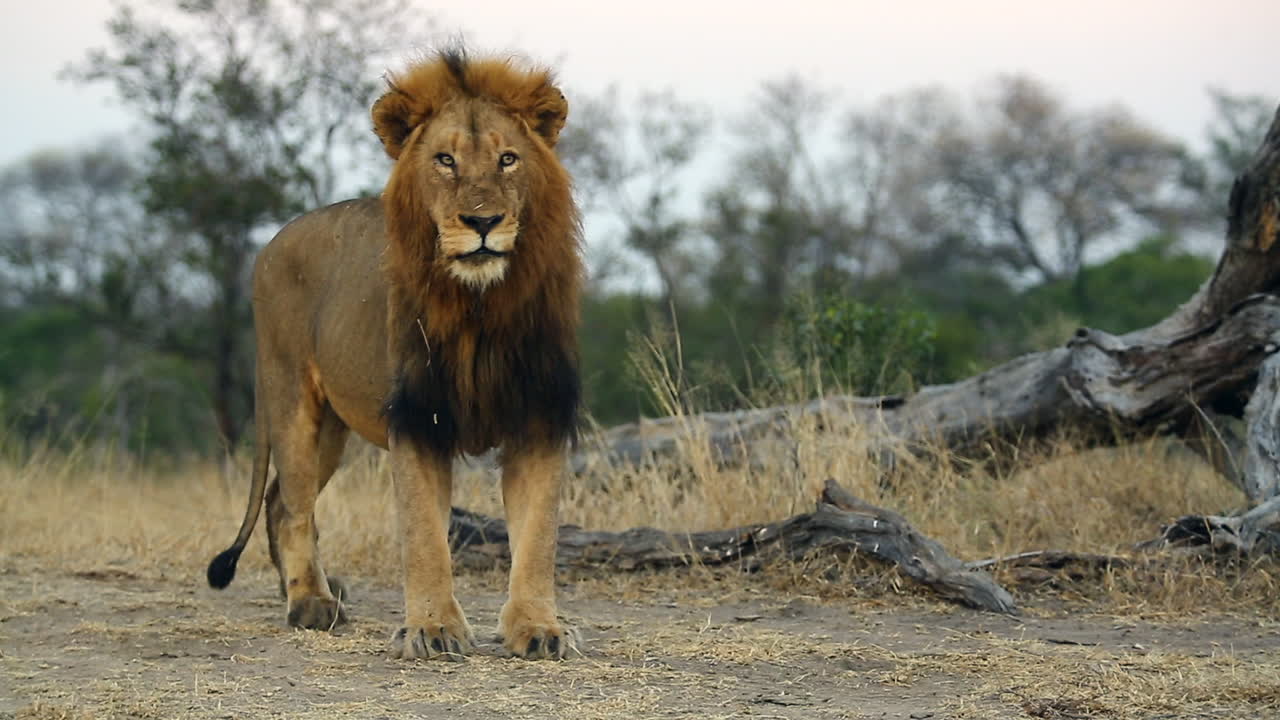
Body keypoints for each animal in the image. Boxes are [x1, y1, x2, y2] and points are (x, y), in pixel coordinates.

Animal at [205, 48, 582, 662]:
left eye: (508, 159)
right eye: (445, 160)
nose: (482, 222)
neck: (480, 306)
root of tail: (272, 241)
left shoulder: (539, 415)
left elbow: (538, 536)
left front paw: (539, 628)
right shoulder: (418, 418)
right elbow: (424, 535)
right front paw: (432, 629)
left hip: (333, 428)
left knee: (280, 500)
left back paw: (307, 591)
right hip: (290, 399)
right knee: (295, 505)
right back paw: (310, 603)